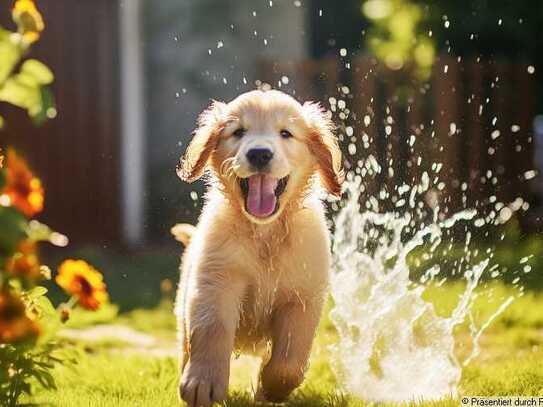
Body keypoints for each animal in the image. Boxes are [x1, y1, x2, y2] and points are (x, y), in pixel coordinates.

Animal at [174, 90, 344, 407]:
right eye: (238, 132)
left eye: (285, 133)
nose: (260, 154)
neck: (265, 233)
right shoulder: (215, 281)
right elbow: (211, 329)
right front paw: (203, 382)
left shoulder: (302, 298)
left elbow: (289, 361)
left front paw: (269, 388)